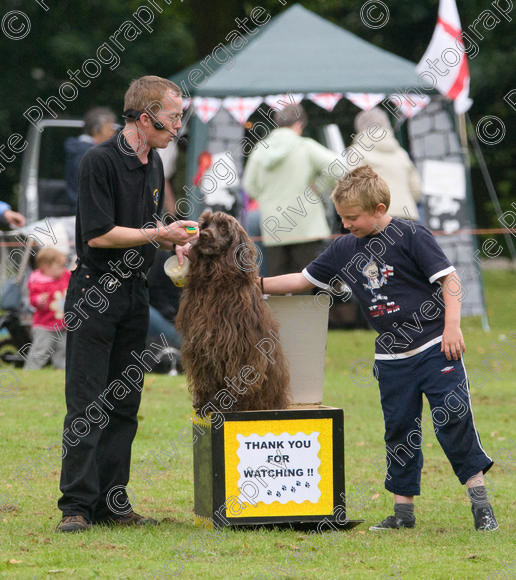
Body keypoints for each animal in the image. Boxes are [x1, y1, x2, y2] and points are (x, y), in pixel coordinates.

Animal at [176, 211, 290, 414]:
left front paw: (232, 404)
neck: (215, 282)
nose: (204, 235)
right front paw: (205, 402)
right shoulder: (199, 343)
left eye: (223, 227)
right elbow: (205, 376)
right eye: (205, 224)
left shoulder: (239, 343)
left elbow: (238, 375)